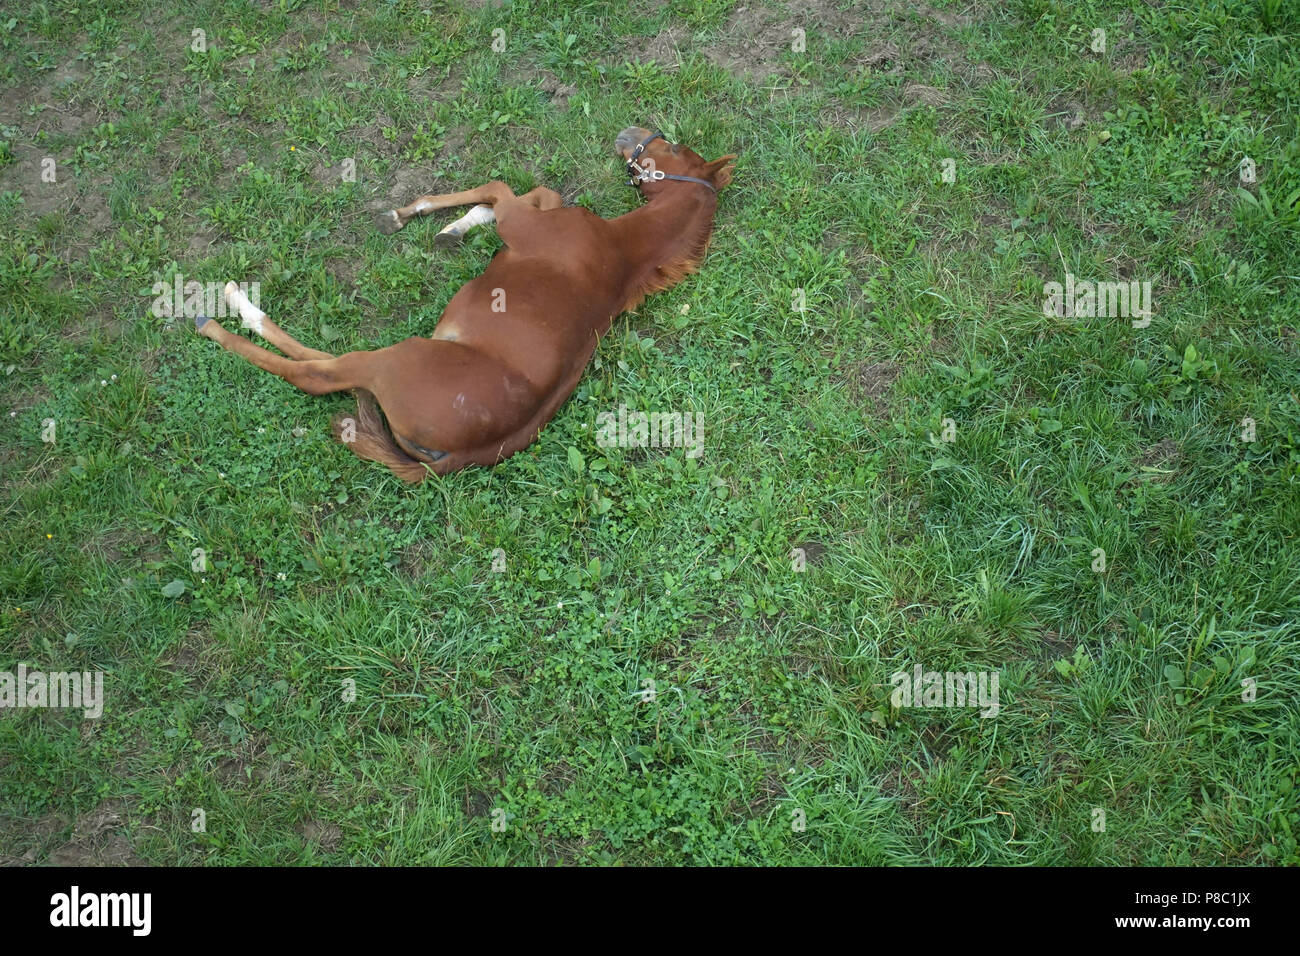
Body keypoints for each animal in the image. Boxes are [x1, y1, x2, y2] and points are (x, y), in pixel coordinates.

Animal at [196, 126, 738, 481]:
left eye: (672, 147)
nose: (631, 132)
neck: (621, 252)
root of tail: (455, 459)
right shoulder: (537, 213)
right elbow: (535, 190)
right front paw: (454, 228)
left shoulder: (522, 223)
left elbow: (499, 188)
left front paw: (410, 214)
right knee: (324, 361)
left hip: (393, 358)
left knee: (313, 373)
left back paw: (223, 311)